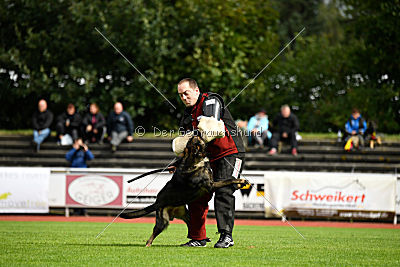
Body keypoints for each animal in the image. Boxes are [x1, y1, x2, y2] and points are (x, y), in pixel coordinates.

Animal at [120, 137, 248, 248]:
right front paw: (241, 181)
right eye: (194, 142)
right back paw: (148, 244)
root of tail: (157, 202)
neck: (194, 160)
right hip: (163, 221)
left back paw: (202, 239)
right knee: (153, 234)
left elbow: (229, 180)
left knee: (193, 226)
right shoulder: (211, 185)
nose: (195, 133)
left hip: (186, 215)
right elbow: (229, 180)